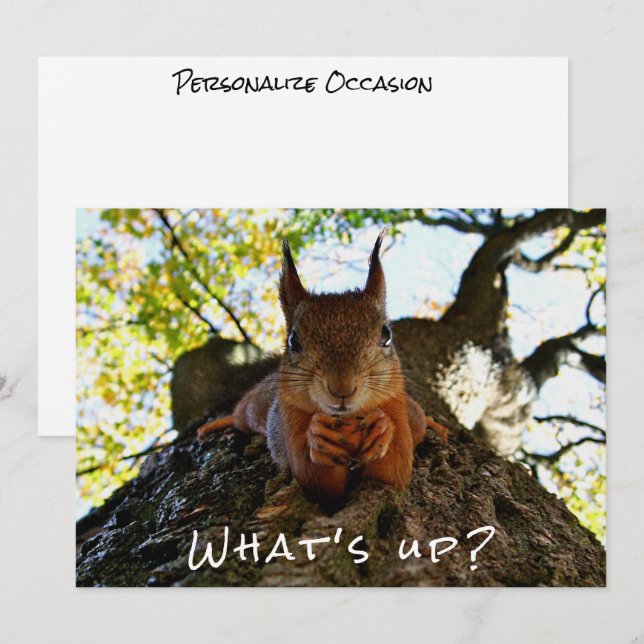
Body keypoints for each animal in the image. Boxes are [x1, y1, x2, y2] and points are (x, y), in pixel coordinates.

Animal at [197, 230, 448, 510]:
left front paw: (382, 428)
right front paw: (318, 437)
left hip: (412, 415)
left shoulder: (396, 408)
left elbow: (394, 471)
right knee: (239, 415)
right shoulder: (289, 421)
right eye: (293, 341)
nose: (342, 389)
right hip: (253, 408)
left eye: (387, 334)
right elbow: (316, 481)